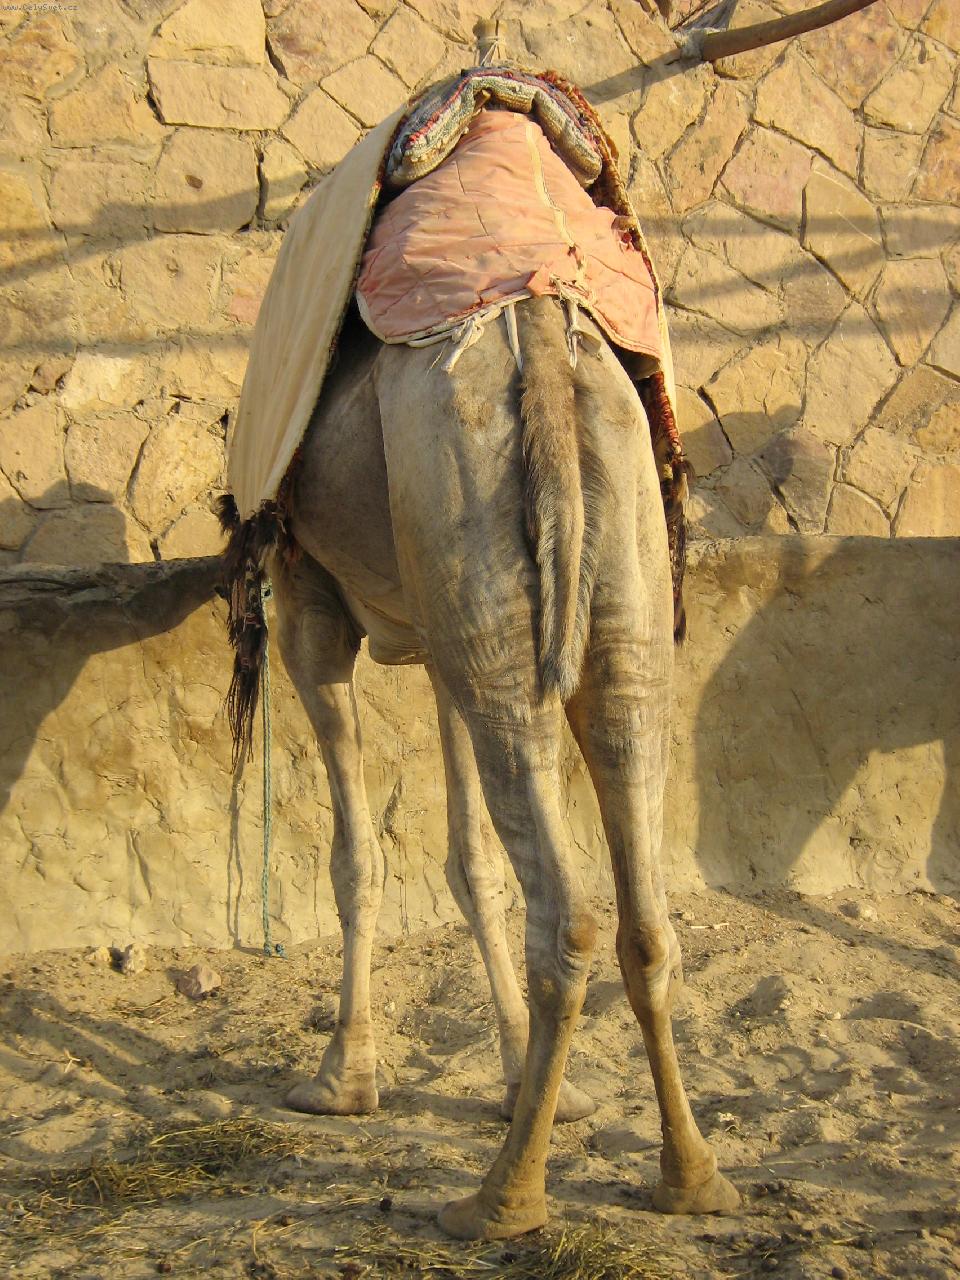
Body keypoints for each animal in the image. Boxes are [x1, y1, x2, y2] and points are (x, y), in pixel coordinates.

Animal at [265, 297, 739, 1239]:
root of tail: (548, 344)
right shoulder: (431, 623)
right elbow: (471, 858)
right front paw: (518, 1076)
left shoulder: (307, 603)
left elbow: (355, 856)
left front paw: (341, 1081)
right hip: (615, 545)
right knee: (637, 872)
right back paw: (692, 1178)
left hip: (461, 487)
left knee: (565, 910)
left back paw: (501, 1198)